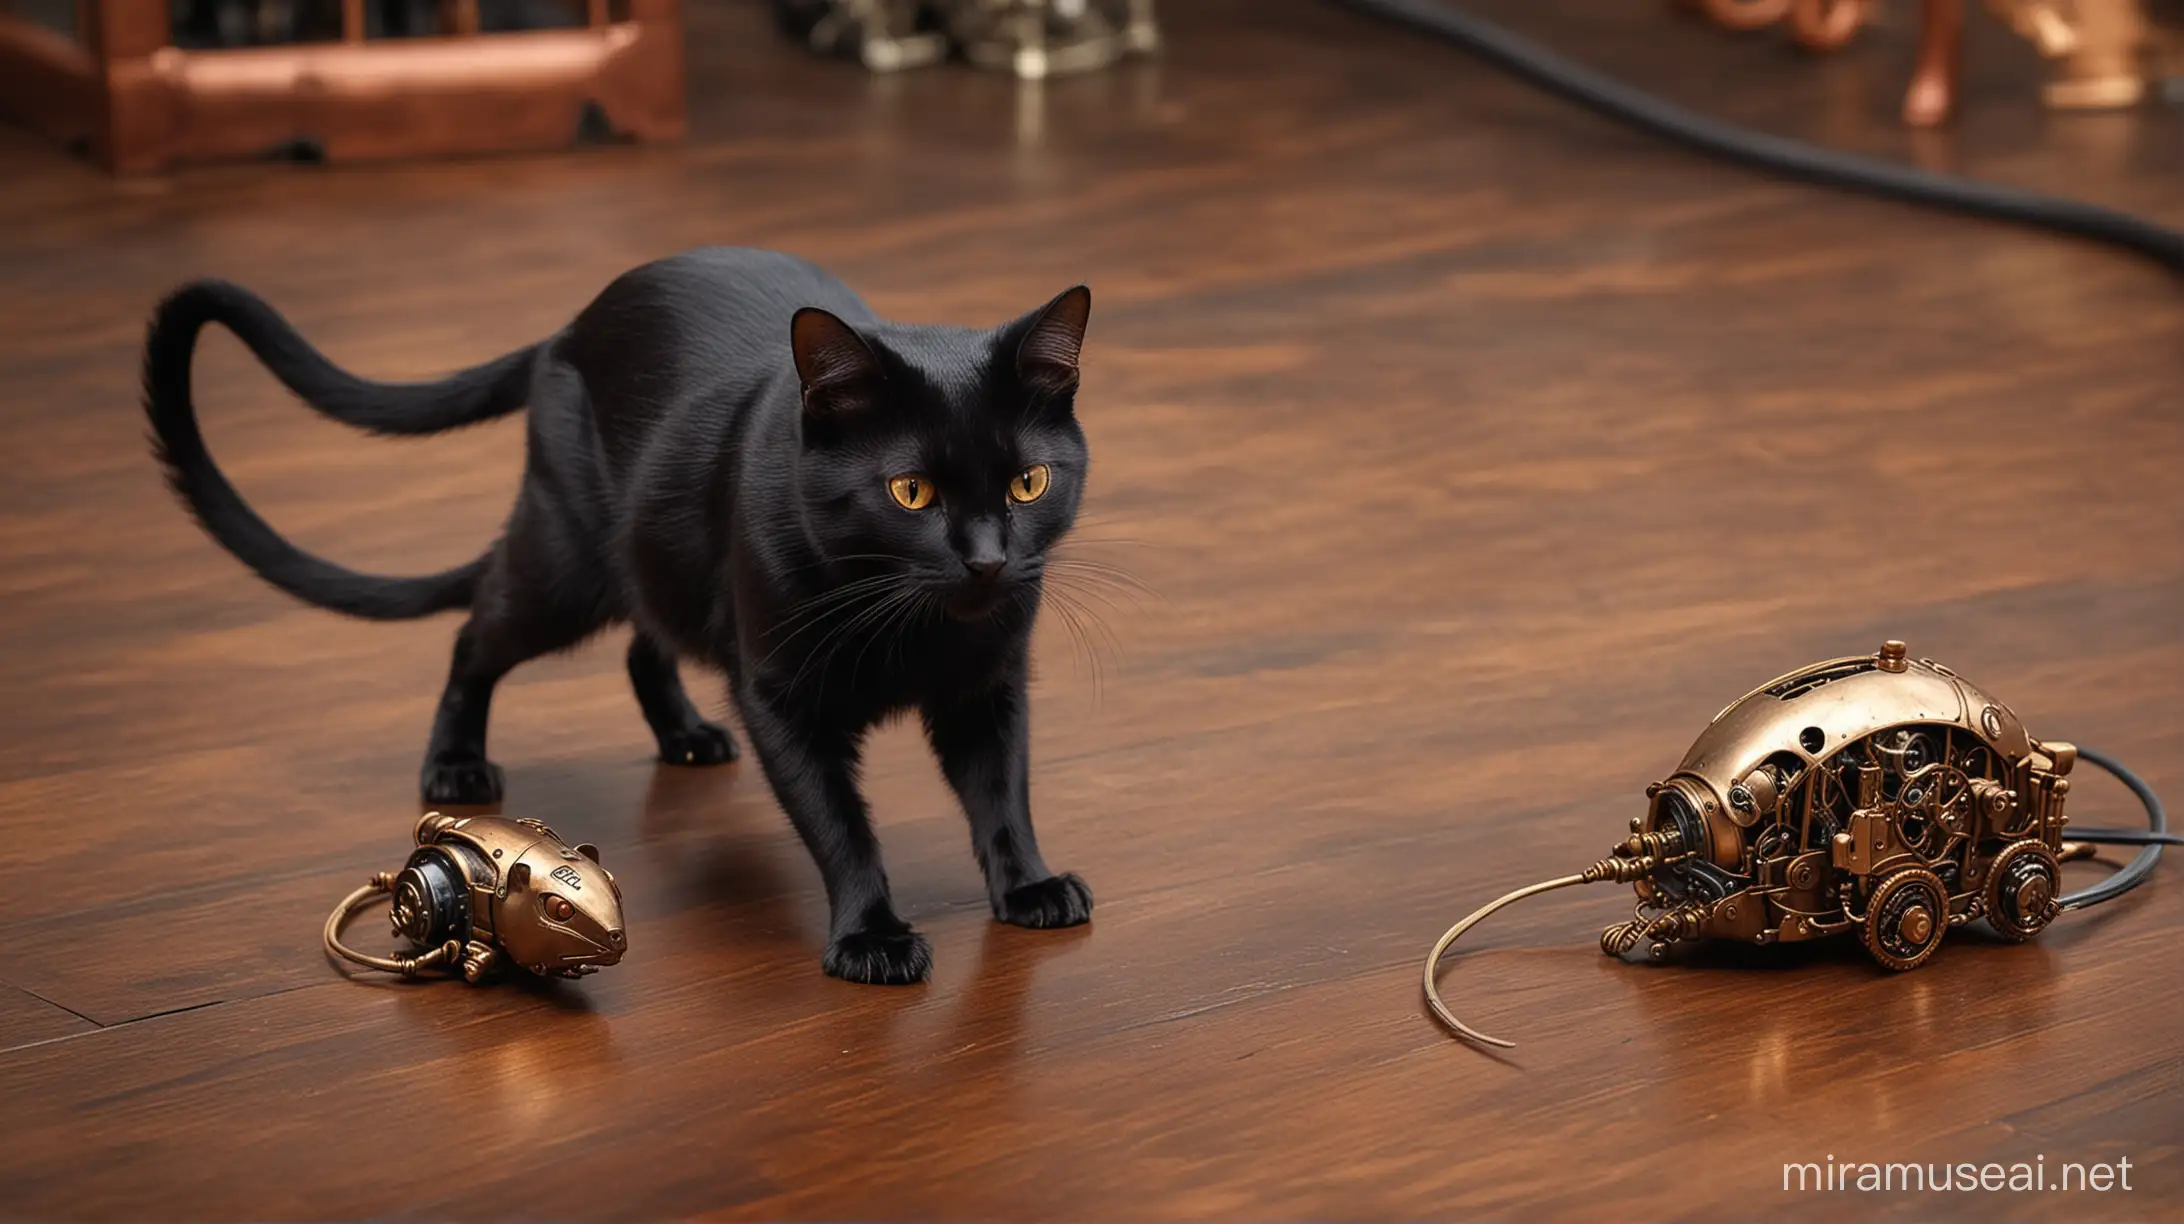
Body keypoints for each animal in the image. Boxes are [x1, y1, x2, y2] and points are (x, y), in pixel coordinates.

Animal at [140, 249, 1092, 983]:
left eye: (1028, 483)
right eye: (911, 492)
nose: (988, 559)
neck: (912, 625)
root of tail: (572, 323)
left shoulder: (989, 686)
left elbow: (1002, 792)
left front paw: (1029, 889)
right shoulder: (781, 697)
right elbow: (840, 823)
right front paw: (871, 937)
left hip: (650, 560)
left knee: (645, 642)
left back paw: (686, 736)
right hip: (563, 570)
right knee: (476, 634)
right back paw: (454, 766)